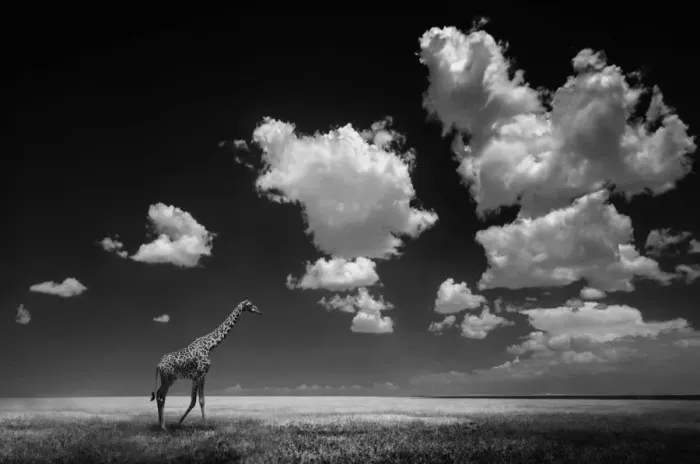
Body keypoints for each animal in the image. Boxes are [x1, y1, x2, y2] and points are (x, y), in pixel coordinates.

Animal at [150, 297, 262, 430]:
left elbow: (193, 401)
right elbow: (201, 400)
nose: (259, 311)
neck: (210, 346)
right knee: (160, 396)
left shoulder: (195, 377)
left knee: (160, 395)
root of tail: (158, 365)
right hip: (168, 379)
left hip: (168, 379)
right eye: (250, 305)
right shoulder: (202, 373)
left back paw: (160, 424)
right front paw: (206, 425)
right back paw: (163, 426)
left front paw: (179, 423)